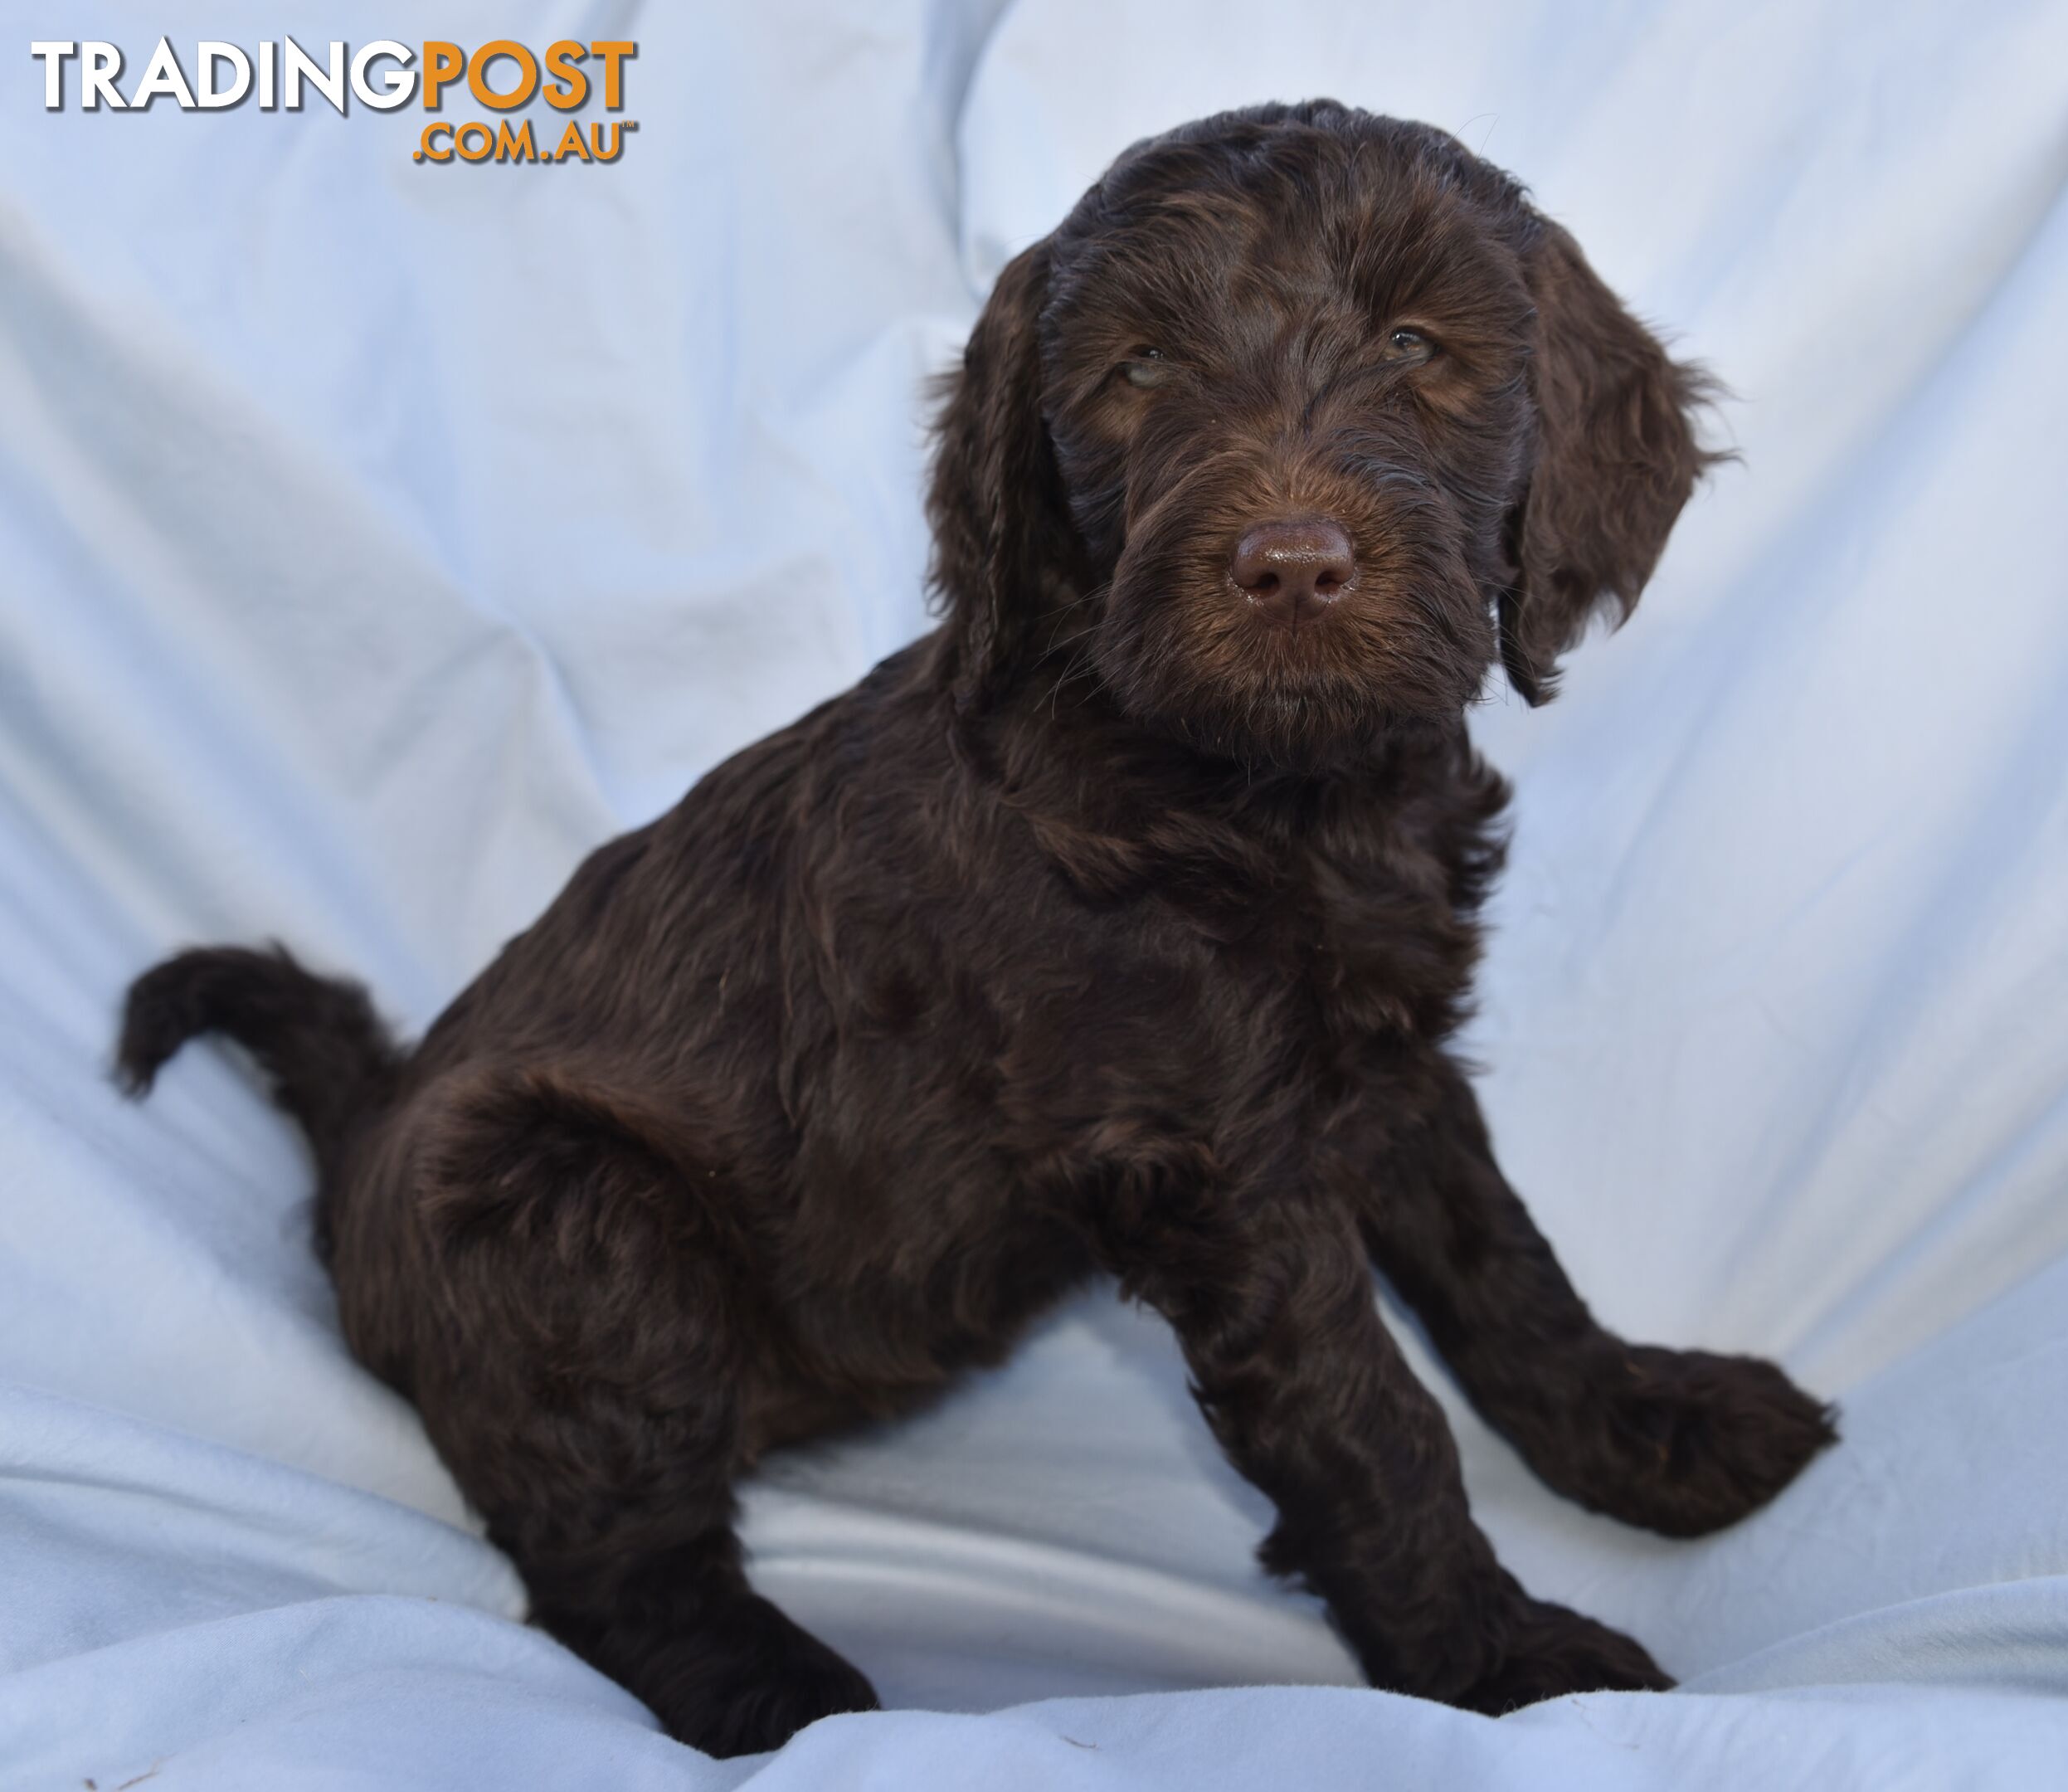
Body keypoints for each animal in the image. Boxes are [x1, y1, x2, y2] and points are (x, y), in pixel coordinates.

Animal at [120, 104, 1836, 1755]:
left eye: (1415, 347)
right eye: (1139, 371)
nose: (1290, 567)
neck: (1263, 797)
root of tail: (367, 1140)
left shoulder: (1380, 1065)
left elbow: (1504, 1268)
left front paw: (1646, 1427)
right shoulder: (1208, 1164)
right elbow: (1374, 1427)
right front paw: (1508, 1666)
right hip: (574, 1216)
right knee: (603, 1553)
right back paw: (775, 1694)